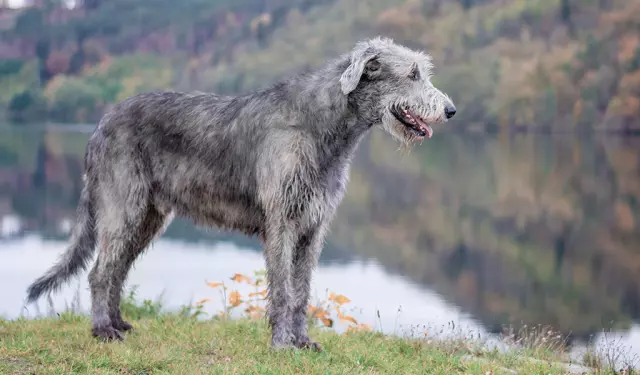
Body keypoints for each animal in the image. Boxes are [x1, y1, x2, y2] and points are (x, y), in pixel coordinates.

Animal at [25, 36, 456, 352]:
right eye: (412, 73)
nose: (451, 110)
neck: (320, 125)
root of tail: (100, 123)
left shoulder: (313, 228)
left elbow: (301, 290)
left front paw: (303, 341)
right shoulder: (282, 223)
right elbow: (282, 289)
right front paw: (281, 344)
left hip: (148, 218)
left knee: (117, 270)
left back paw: (118, 323)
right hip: (123, 206)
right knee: (100, 272)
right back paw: (103, 330)